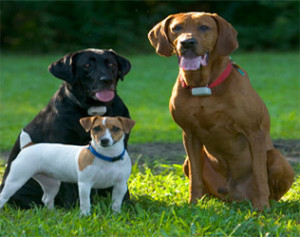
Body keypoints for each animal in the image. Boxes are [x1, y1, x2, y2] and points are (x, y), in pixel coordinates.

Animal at [149, 12, 294, 210]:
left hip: (278, 159)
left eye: (204, 27)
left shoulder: (254, 132)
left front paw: (262, 208)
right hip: (188, 163)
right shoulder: (189, 134)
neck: (204, 86)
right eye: (176, 28)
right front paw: (193, 204)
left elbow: (260, 174)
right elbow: (195, 176)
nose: (187, 42)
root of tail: (235, 197)